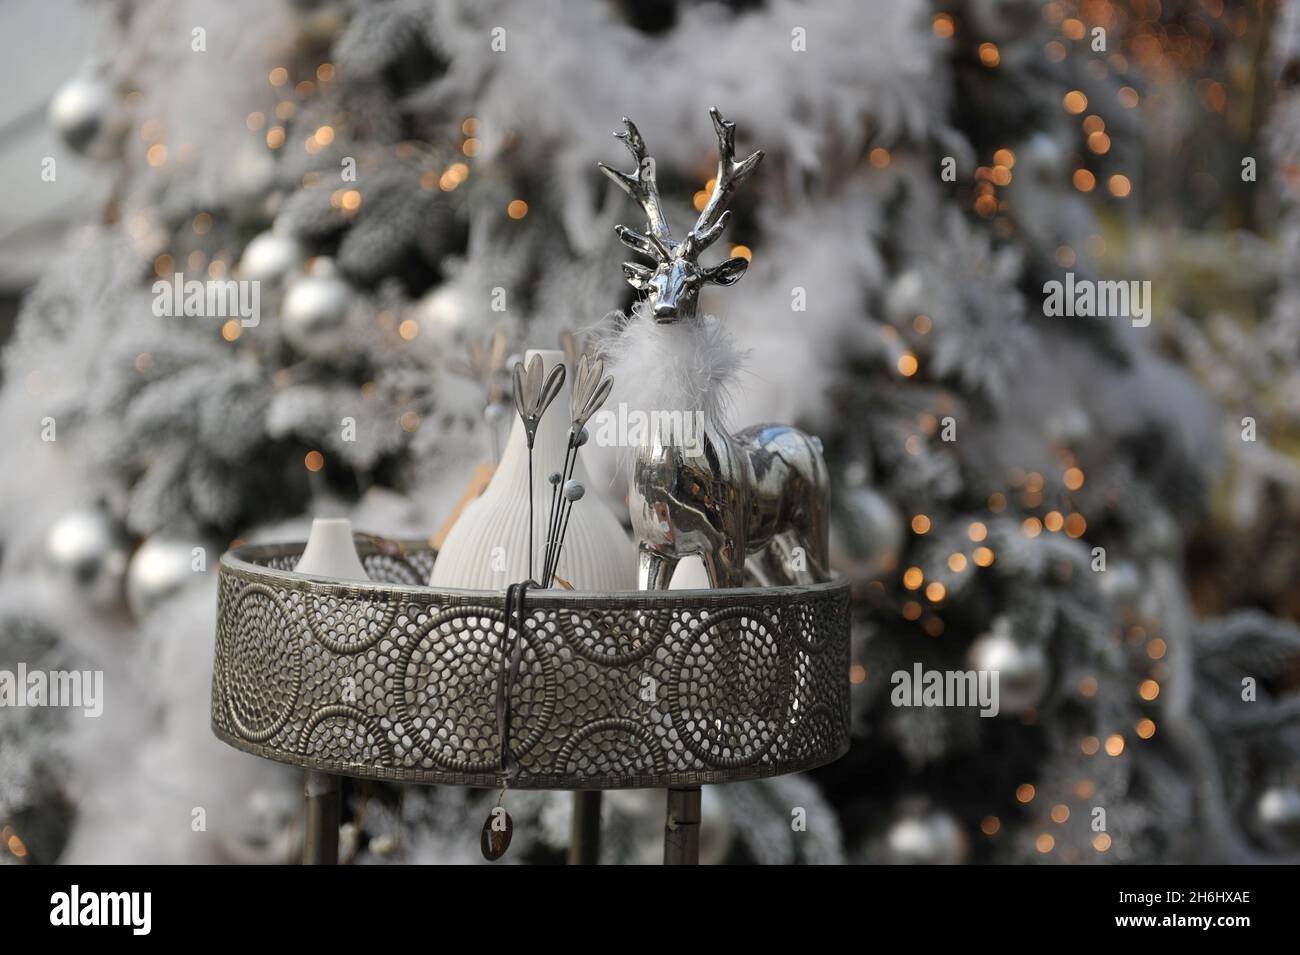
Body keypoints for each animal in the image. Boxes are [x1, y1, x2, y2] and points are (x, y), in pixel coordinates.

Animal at [598, 107, 830, 590]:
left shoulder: (726, 546)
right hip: (771, 550)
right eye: (651, 284)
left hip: (810, 525)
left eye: (693, 282)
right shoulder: (651, 544)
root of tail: (808, 438)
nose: (664, 310)